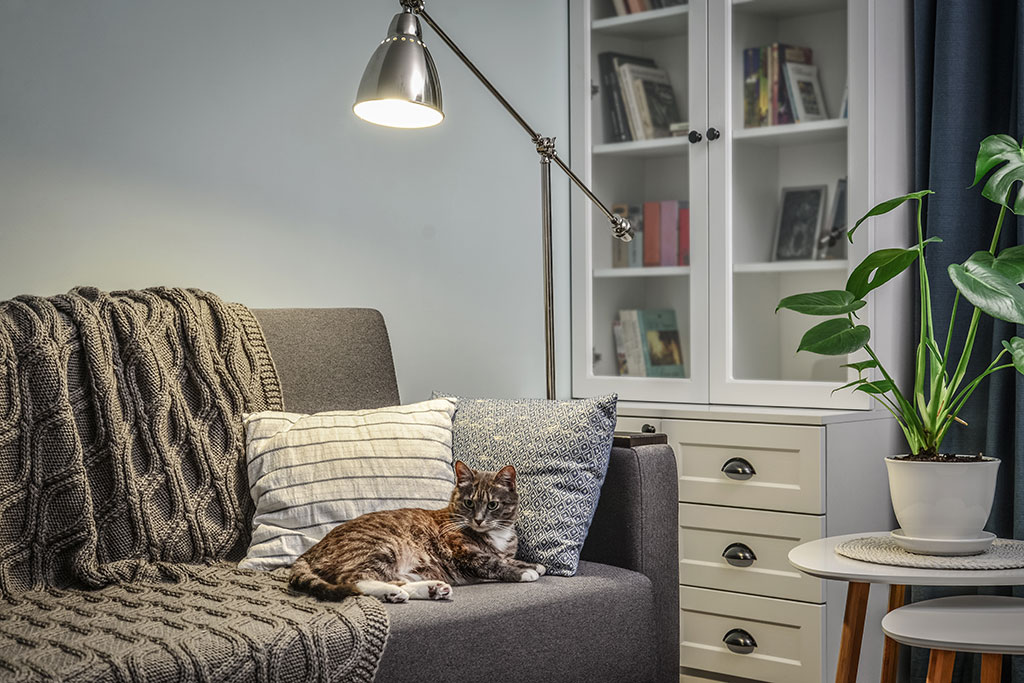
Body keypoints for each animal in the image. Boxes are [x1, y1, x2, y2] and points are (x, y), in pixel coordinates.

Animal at [288, 458, 544, 602]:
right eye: (469, 503)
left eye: (492, 505)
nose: (479, 520)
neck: (496, 534)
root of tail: (311, 550)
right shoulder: (464, 552)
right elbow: (493, 562)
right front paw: (524, 572)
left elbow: (508, 559)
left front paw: (533, 565)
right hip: (380, 546)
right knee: (354, 579)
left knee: (395, 580)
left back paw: (429, 589)